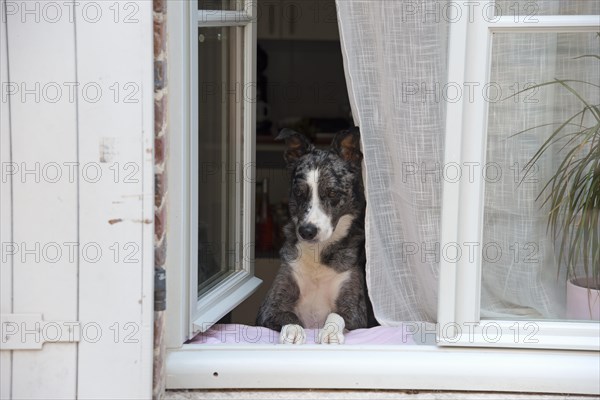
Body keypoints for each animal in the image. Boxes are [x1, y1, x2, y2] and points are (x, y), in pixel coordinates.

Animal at [254, 127, 376, 344]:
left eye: (333, 193)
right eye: (298, 192)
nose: (307, 231)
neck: (318, 251)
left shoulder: (356, 312)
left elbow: (336, 314)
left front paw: (331, 332)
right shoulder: (269, 307)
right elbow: (287, 314)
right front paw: (293, 329)